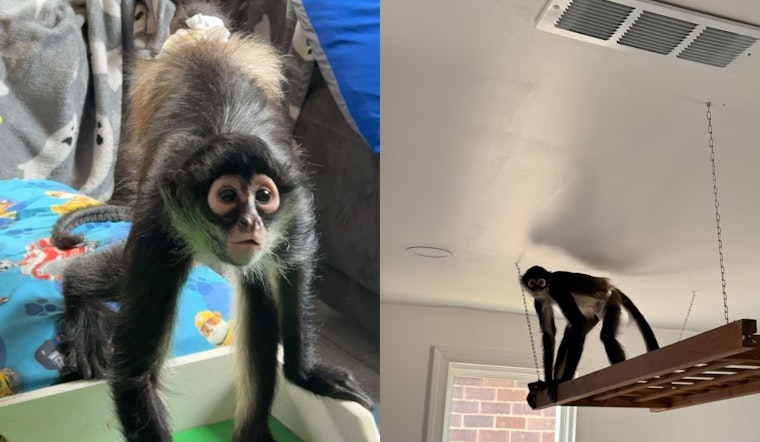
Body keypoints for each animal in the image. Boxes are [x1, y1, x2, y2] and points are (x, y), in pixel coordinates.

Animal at [56, 2, 374, 441]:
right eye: (226, 197)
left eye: (263, 196)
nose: (252, 223)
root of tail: (204, 43)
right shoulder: (158, 221)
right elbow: (135, 378)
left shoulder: (294, 206)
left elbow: (294, 268)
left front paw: (305, 373)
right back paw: (76, 290)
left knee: (257, 288)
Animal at [519, 265, 659, 406]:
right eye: (532, 283)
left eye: (541, 282)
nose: (537, 289)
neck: (547, 291)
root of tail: (610, 286)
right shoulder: (539, 301)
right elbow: (549, 333)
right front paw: (546, 384)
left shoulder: (557, 289)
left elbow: (578, 321)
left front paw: (564, 380)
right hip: (592, 316)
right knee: (569, 335)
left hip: (610, 301)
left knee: (605, 335)